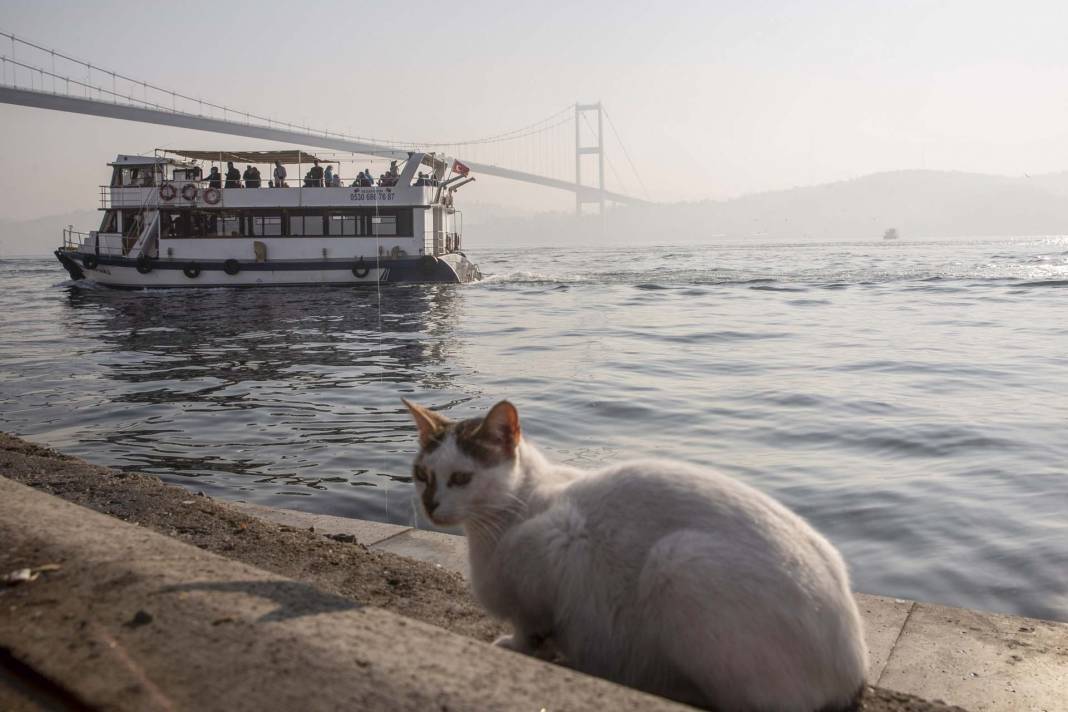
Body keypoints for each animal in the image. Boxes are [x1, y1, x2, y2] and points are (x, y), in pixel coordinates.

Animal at [401, 399, 867, 708]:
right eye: (422, 474)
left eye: (461, 478)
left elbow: (529, 627)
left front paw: (518, 647)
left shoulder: (558, 546)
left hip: (678, 562)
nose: (430, 504)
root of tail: (854, 669)